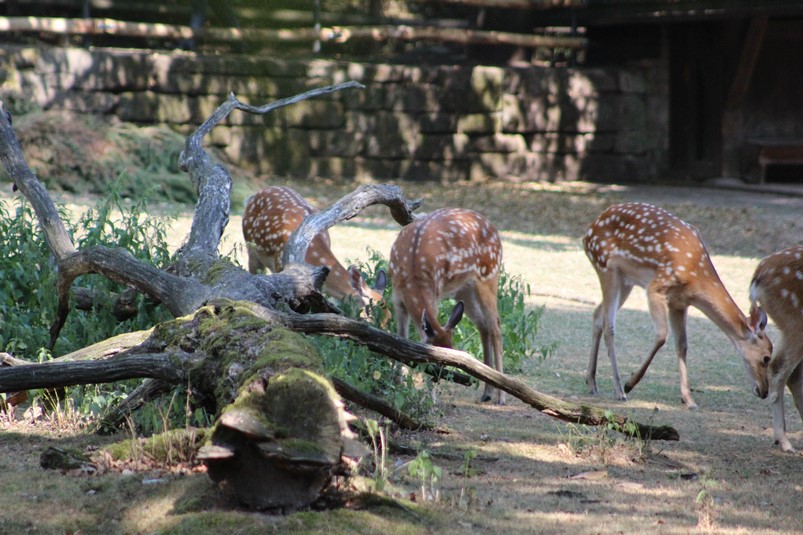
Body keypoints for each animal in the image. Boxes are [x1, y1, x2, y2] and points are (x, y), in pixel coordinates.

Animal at [388, 207, 505, 404]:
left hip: (489, 275)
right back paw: (487, 392)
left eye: (448, 358)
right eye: (430, 359)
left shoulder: (434, 295)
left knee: (495, 325)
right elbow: (400, 338)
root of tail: (494, 229)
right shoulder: (397, 299)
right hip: (464, 290)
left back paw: (501, 396)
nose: (437, 378)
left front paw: (430, 400)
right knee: (483, 325)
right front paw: (396, 385)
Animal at [582, 202, 772, 410]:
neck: (695, 276)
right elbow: (661, 336)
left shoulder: (679, 302)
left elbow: (682, 345)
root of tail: (588, 231)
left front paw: (688, 399)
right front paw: (630, 383)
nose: (764, 392)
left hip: (626, 280)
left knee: (597, 315)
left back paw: (591, 382)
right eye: (766, 358)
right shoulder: (656, 287)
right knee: (609, 325)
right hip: (606, 266)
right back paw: (619, 390)